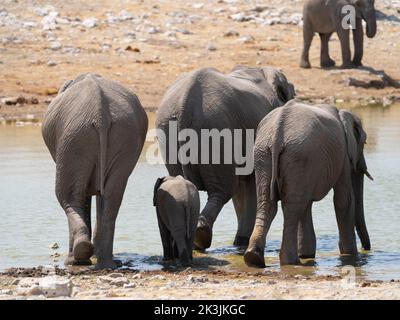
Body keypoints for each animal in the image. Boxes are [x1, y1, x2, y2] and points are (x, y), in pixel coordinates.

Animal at [42, 74, 148, 268]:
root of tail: (101, 115)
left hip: (73, 139)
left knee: (68, 196)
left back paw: (75, 259)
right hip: (121, 138)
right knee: (112, 197)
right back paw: (106, 263)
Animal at [155, 65, 294, 250]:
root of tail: (185, 103)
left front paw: (240, 242)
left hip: (170, 132)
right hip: (217, 131)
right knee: (224, 190)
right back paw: (202, 236)